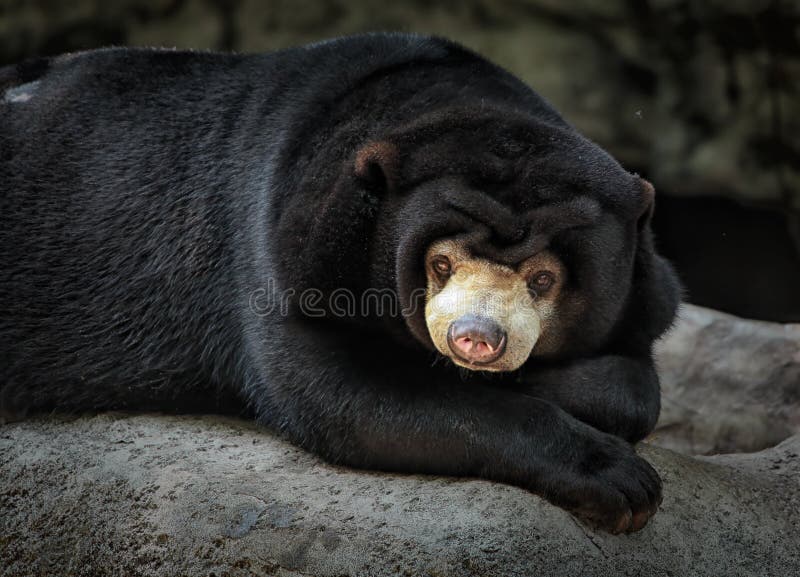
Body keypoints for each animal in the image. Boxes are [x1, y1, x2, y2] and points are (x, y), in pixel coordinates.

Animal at [0, 33, 680, 532]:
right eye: (440, 263)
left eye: (543, 278)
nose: (475, 339)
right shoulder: (280, 252)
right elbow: (347, 399)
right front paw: (622, 483)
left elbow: (635, 379)